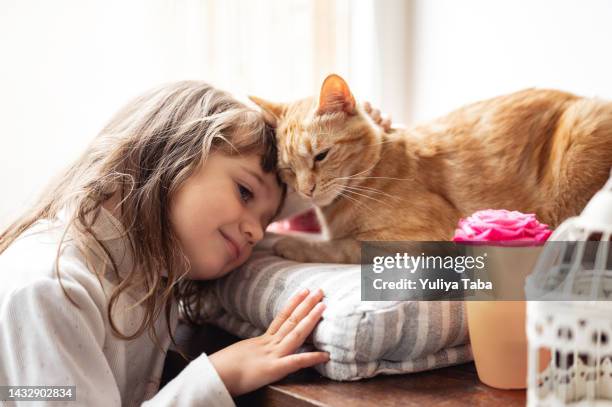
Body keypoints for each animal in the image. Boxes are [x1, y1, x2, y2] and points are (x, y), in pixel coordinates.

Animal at [251, 74, 612, 262]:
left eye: (321, 156)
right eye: (288, 169)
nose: (307, 190)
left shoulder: (419, 239)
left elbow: (342, 247)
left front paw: (291, 245)